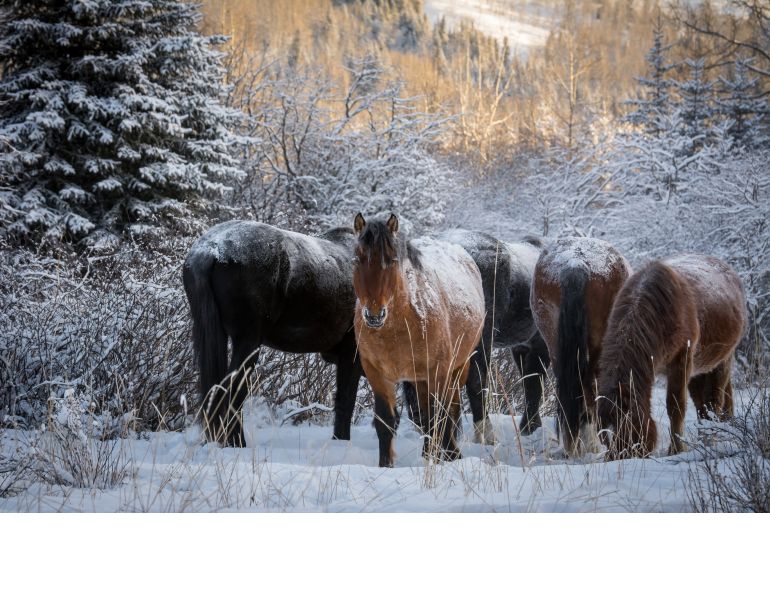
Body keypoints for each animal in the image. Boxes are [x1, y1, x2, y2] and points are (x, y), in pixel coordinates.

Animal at [182, 220, 362, 447]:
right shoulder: (352, 353)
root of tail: (209, 251)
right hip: (248, 341)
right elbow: (346, 401)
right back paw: (237, 443)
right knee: (232, 391)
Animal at [352, 213, 486, 467]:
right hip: (421, 378)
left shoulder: (439, 371)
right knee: (426, 415)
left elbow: (441, 416)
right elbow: (386, 422)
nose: (374, 315)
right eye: (357, 259)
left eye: (392, 260)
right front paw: (386, 465)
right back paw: (428, 453)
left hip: (458, 368)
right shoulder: (377, 373)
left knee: (449, 411)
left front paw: (452, 457)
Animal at [597, 254, 746, 459]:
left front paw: (676, 450)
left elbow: (676, 407)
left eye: (625, 426)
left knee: (714, 401)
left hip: (723, 359)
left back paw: (711, 441)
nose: (616, 458)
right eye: (604, 436)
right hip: (699, 368)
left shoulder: (680, 361)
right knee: (704, 405)